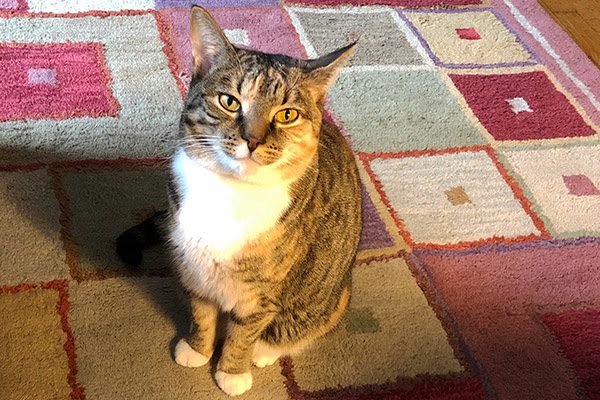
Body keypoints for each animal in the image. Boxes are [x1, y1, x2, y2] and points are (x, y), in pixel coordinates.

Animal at [116, 6, 360, 396]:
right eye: (230, 101)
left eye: (287, 114)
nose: (253, 139)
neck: (229, 192)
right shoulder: (193, 270)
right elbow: (201, 314)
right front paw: (198, 349)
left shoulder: (262, 294)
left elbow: (243, 334)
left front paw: (231, 371)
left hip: (328, 302)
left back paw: (265, 351)